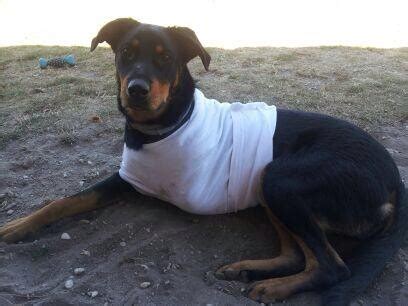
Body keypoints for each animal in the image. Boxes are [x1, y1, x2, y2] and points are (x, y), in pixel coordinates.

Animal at [1, 18, 406, 304]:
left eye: (166, 58)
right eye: (126, 53)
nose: (136, 90)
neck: (165, 123)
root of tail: (395, 179)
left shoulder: (134, 184)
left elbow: (69, 199)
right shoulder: (127, 179)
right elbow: (63, 201)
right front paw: (17, 225)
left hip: (279, 177)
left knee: (332, 267)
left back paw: (274, 288)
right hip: (269, 186)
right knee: (297, 254)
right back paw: (249, 270)